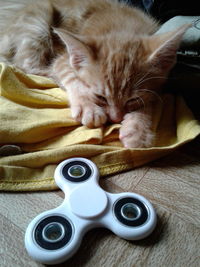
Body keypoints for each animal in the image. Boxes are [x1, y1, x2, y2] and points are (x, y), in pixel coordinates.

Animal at [0, 0, 189, 149]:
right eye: (101, 97)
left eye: (132, 99)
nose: (116, 119)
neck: (120, 26)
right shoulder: (63, 59)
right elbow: (71, 75)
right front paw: (88, 106)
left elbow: (151, 100)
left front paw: (138, 129)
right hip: (38, 22)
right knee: (27, 66)